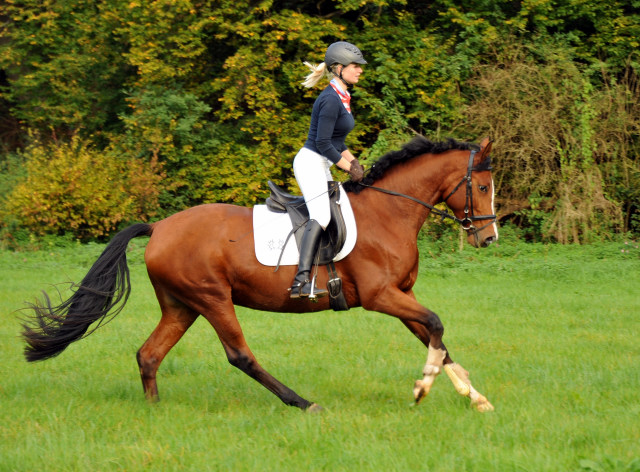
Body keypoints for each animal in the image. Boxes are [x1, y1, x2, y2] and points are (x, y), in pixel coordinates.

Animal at [20, 135, 498, 412]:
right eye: (482, 186)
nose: (489, 238)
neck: (389, 211)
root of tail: (159, 228)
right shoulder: (381, 296)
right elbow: (435, 324)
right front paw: (423, 389)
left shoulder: (401, 295)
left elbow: (433, 337)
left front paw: (472, 395)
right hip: (213, 299)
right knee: (239, 355)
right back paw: (302, 402)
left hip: (181, 305)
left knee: (149, 354)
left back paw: (154, 411)